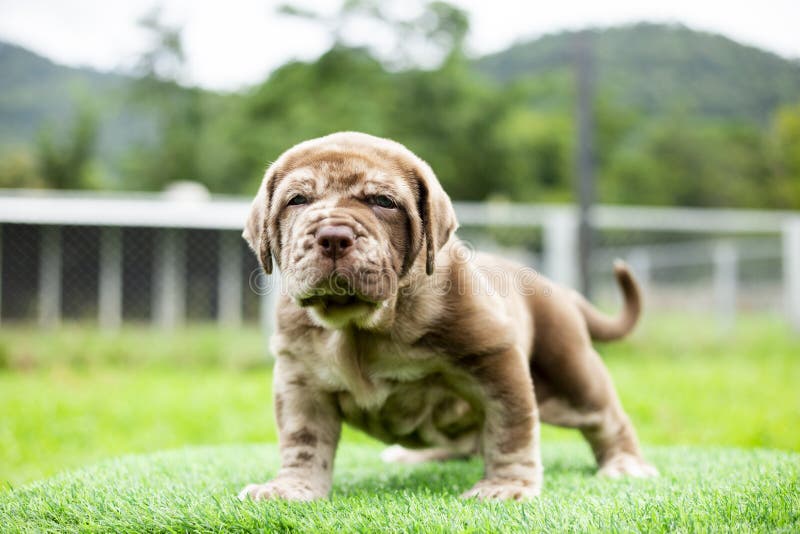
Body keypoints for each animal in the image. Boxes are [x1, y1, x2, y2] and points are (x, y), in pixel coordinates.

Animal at [238, 132, 656, 504]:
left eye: (383, 201)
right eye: (298, 200)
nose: (333, 236)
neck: (363, 327)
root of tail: (559, 289)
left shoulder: (496, 360)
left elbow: (511, 429)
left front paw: (505, 485)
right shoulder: (300, 380)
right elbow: (303, 441)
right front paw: (291, 488)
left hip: (572, 372)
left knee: (606, 419)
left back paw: (626, 464)